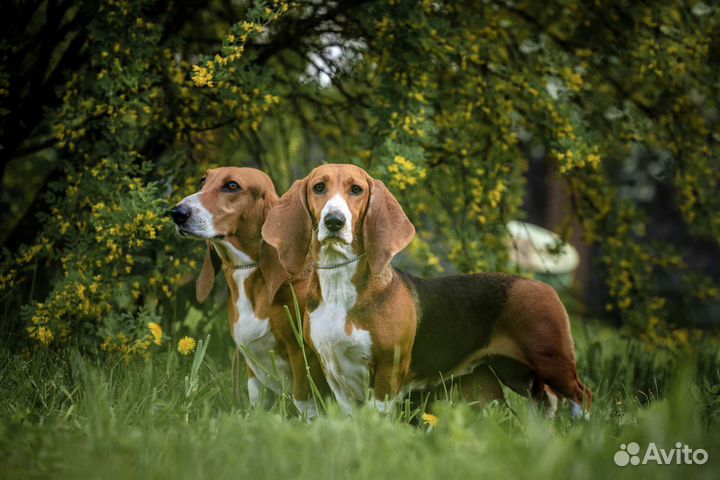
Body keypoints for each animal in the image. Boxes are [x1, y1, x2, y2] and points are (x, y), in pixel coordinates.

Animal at [170, 168, 328, 416]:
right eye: (203, 181)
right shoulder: (252, 368)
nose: (177, 213)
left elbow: (304, 402)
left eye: (232, 186)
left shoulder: (303, 357)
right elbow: (257, 402)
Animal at [262, 164, 592, 416]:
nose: (334, 221)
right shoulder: (335, 371)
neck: (340, 287)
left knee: (581, 394)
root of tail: (543, 286)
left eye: (356, 190)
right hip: (515, 371)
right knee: (546, 400)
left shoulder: (388, 370)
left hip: (552, 361)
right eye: (319, 187)